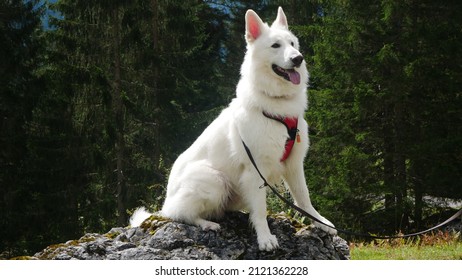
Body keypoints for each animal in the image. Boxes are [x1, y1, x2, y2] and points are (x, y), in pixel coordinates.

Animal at [130, 7, 336, 252]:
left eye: (293, 43)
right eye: (275, 45)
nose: (298, 59)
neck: (275, 104)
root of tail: (166, 201)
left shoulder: (294, 164)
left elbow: (304, 198)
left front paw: (321, 222)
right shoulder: (256, 170)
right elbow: (260, 210)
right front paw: (265, 238)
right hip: (214, 180)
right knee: (179, 214)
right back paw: (206, 224)